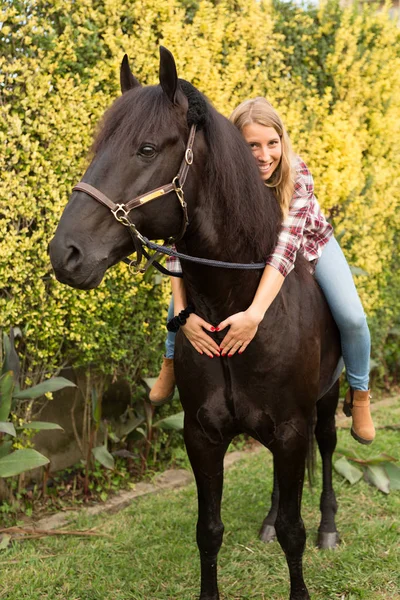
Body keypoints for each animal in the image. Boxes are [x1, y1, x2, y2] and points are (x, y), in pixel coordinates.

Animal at [50, 47, 342, 600]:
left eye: (146, 149)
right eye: (98, 147)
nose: (65, 253)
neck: (234, 308)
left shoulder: (293, 429)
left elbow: (294, 533)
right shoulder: (202, 435)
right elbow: (209, 531)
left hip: (327, 401)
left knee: (330, 448)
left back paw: (330, 526)